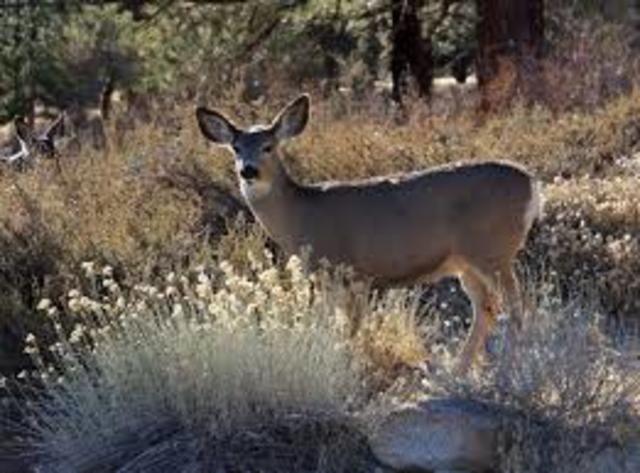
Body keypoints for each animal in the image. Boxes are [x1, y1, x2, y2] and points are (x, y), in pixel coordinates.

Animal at [196, 94, 542, 372]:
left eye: (268, 146)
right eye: (236, 148)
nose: (248, 170)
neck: (302, 215)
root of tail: (532, 184)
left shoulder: (349, 271)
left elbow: (348, 326)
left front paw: (345, 365)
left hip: (493, 250)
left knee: (519, 306)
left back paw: (513, 368)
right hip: (466, 262)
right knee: (488, 308)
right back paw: (458, 371)